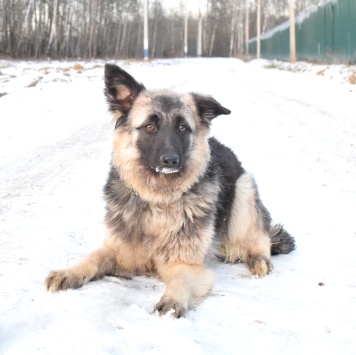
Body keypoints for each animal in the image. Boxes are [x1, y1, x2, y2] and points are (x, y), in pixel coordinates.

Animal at [44, 64, 294, 320]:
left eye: (182, 128)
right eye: (150, 126)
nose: (171, 160)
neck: (158, 198)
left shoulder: (185, 264)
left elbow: (180, 280)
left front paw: (171, 301)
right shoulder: (116, 248)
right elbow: (93, 258)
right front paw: (69, 272)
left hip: (244, 190)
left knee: (260, 238)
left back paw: (258, 259)